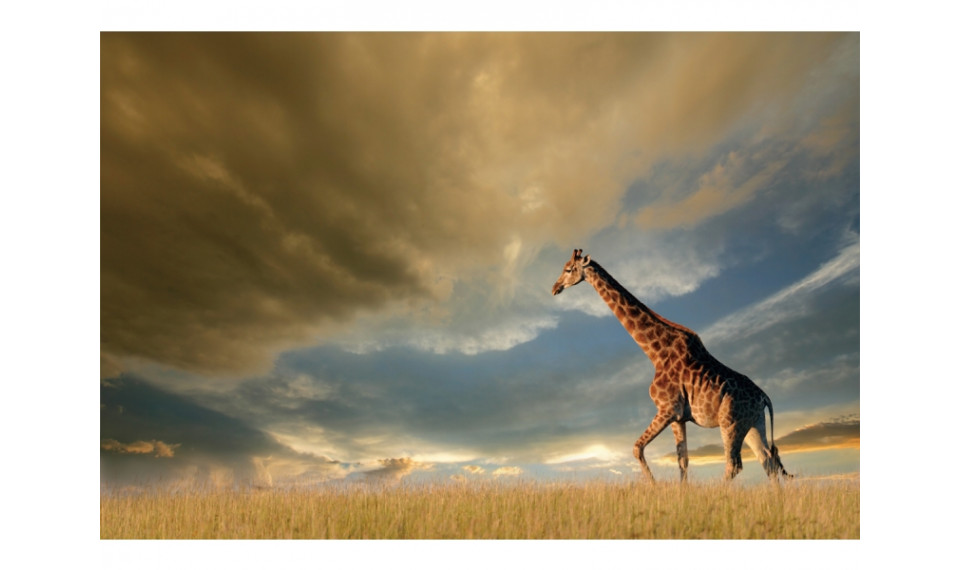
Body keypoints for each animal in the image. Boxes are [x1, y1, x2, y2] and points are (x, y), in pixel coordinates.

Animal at [552, 249, 791, 482]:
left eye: (569, 269)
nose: (555, 288)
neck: (655, 354)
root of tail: (764, 397)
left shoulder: (667, 409)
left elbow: (637, 448)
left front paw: (654, 486)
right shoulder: (679, 417)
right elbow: (682, 460)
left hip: (731, 422)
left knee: (735, 465)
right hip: (753, 423)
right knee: (768, 461)